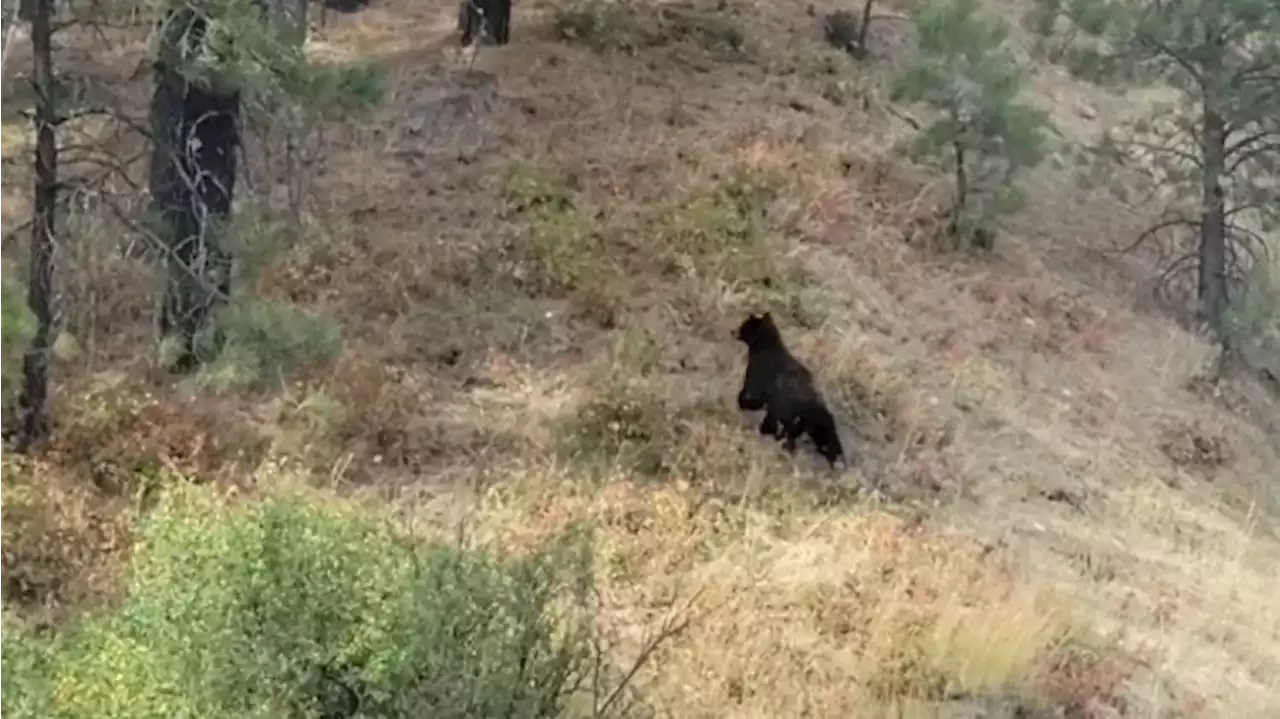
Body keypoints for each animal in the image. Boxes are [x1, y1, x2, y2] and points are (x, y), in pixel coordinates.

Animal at [737, 312, 844, 465]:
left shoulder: (756, 379)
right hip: (801, 422)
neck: (766, 347)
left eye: (744, 326)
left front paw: (742, 403)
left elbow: (749, 395)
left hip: (783, 410)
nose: (734, 331)